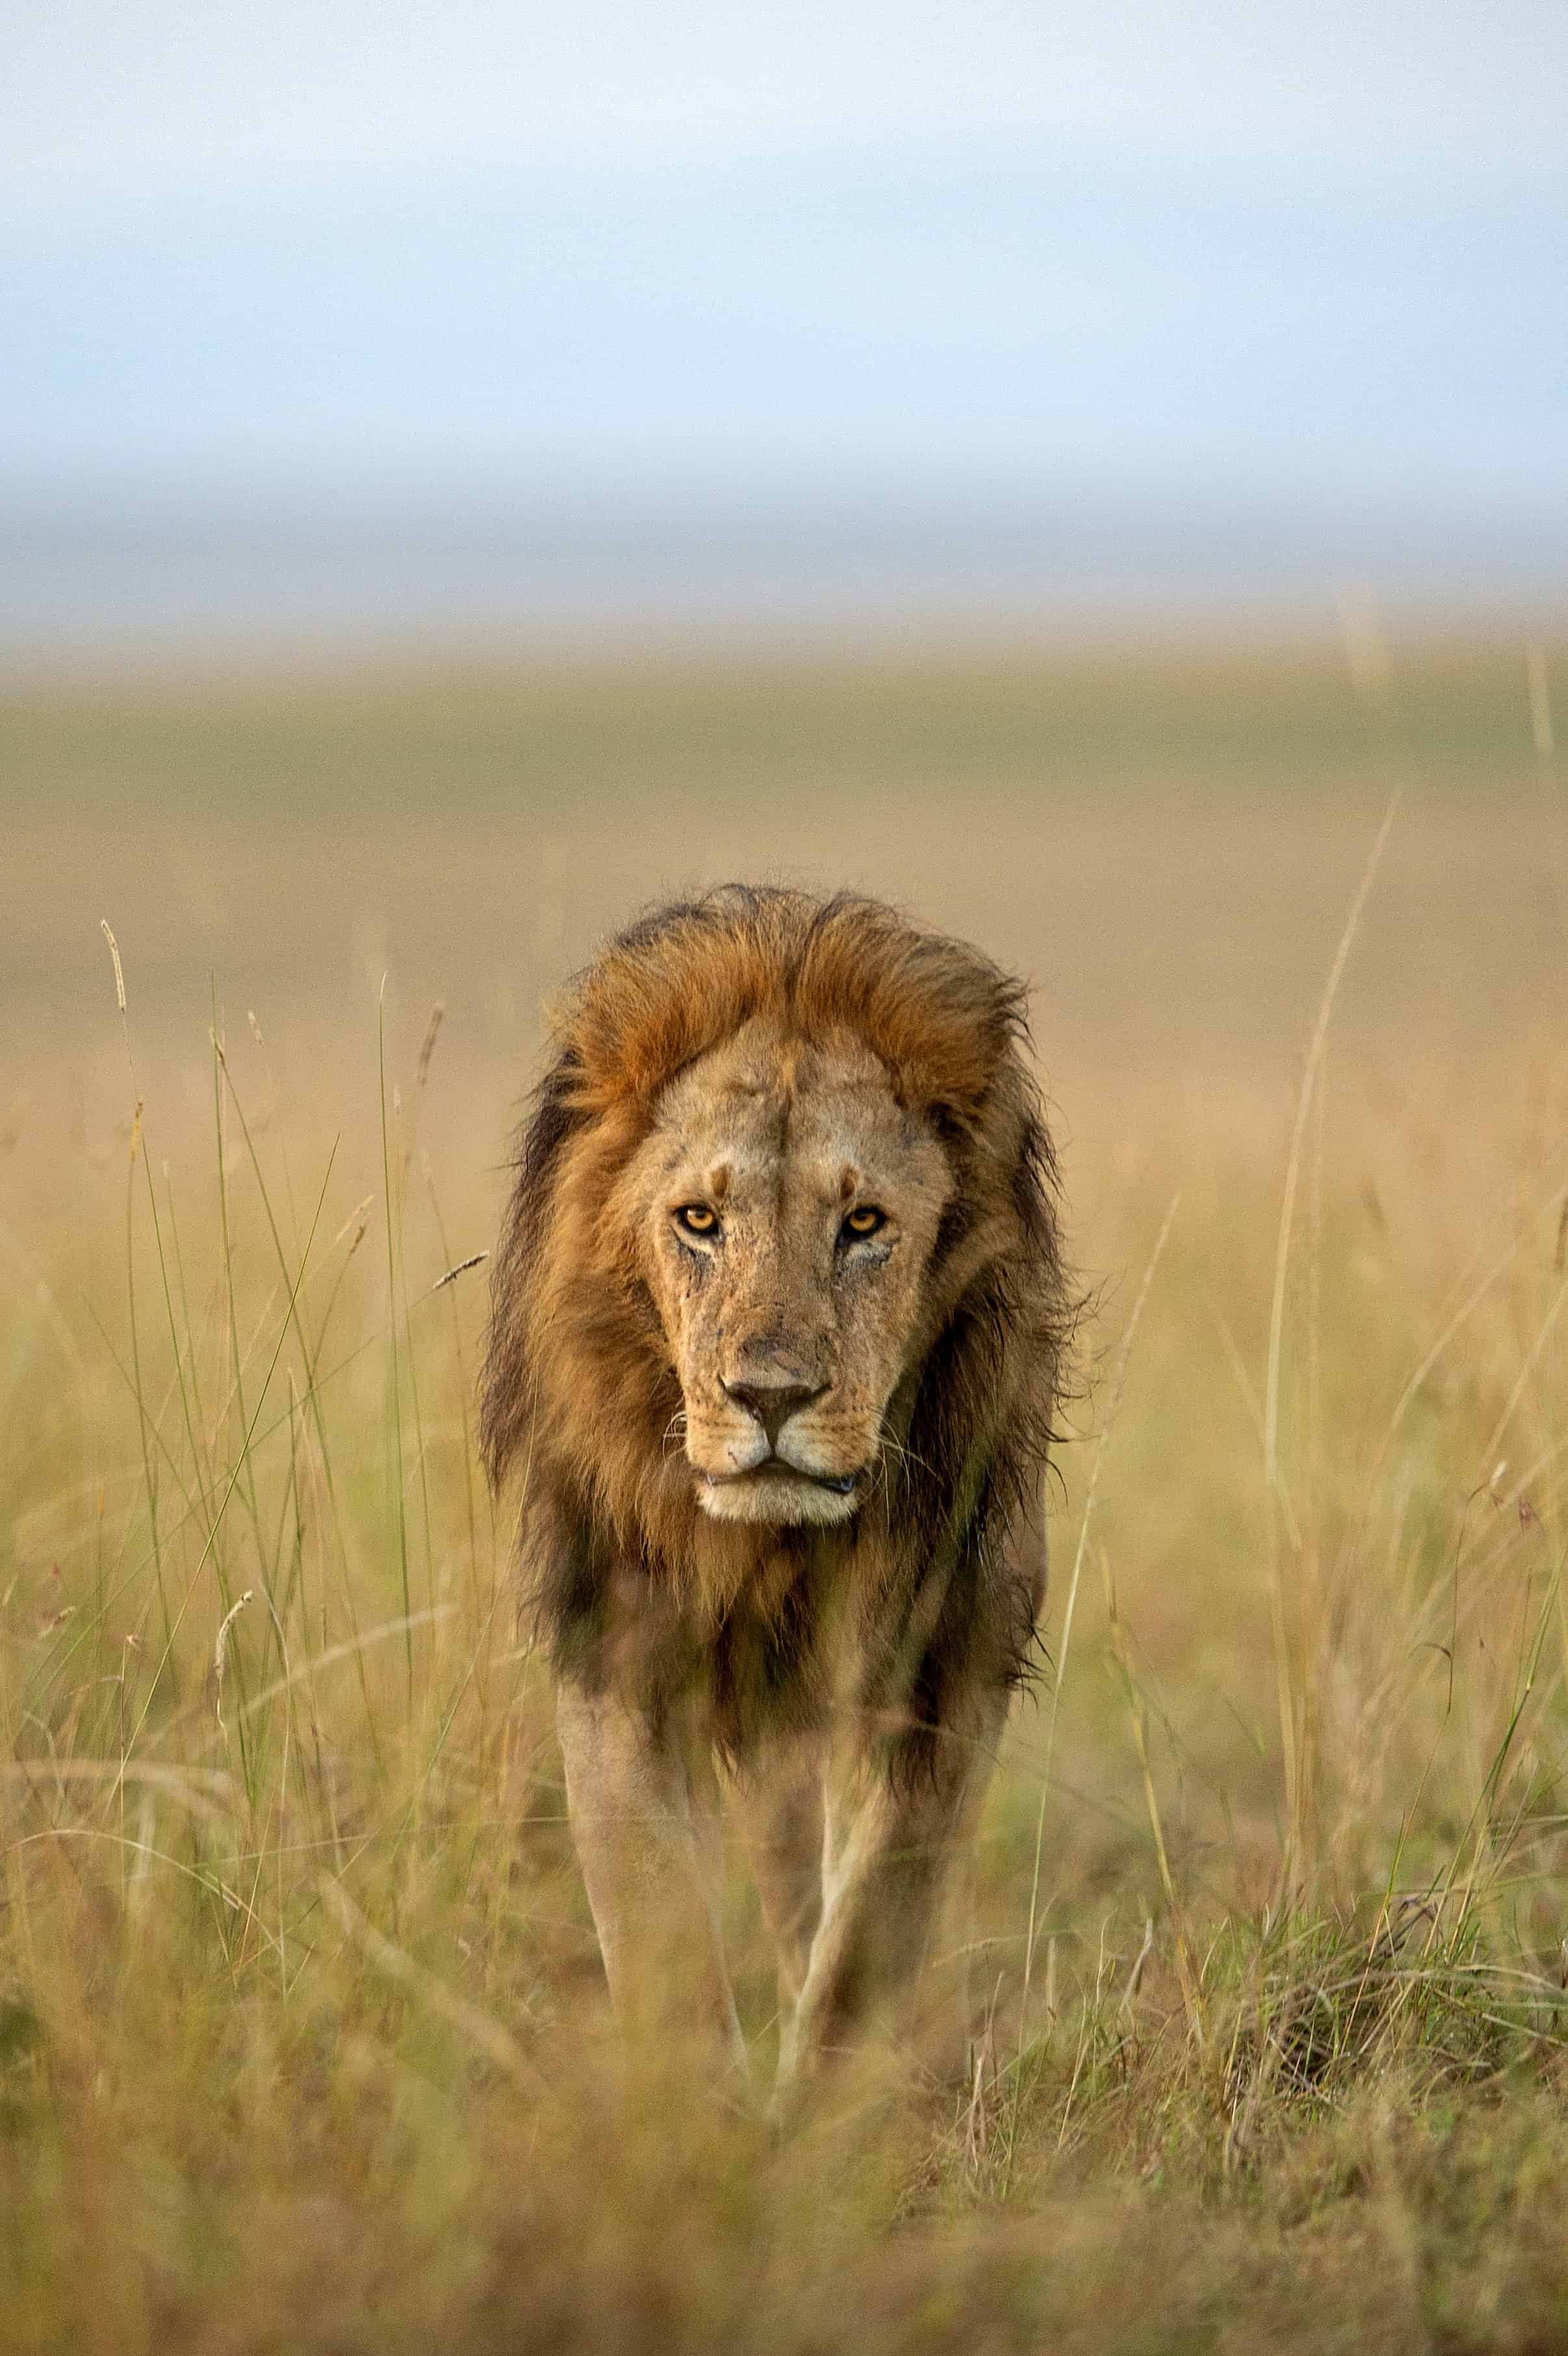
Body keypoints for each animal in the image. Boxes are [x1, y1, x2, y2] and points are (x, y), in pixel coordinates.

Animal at [482, 886, 1072, 2100]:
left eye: (863, 1225)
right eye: (699, 1221)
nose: (769, 1396)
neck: (777, 1548)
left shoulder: (947, 1663)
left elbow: (871, 1929)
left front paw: (817, 2103)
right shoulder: (616, 1645)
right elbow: (656, 1911)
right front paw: (697, 2098)